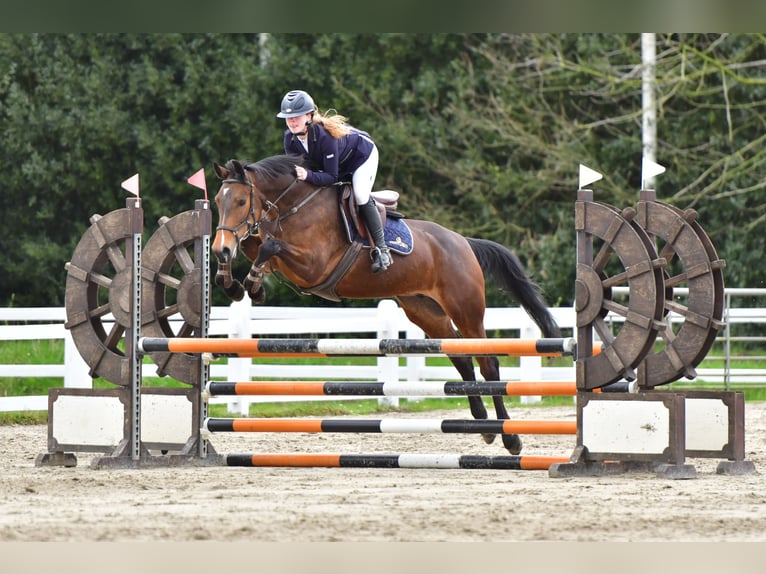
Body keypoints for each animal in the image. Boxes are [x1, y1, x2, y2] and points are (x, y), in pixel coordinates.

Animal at [213, 155, 560, 456]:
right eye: (217, 200)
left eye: (242, 202)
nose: (219, 249)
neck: (294, 205)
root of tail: (464, 242)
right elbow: (254, 244)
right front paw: (233, 282)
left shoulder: (314, 267)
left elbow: (269, 246)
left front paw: (249, 283)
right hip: (424, 310)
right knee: (460, 357)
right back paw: (483, 426)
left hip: (466, 309)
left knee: (488, 364)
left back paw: (510, 437)